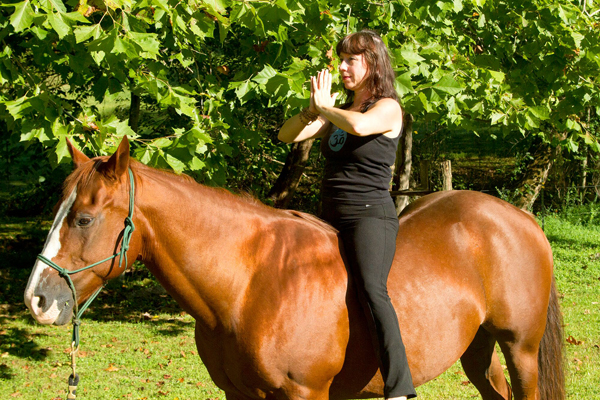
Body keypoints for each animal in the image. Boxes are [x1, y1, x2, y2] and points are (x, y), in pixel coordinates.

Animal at [24, 136, 564, 398]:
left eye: (84, 217)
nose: (37, 299)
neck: (250, 284)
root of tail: (519, 219)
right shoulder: (240, 396)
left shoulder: (305, 394)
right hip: (478, 348)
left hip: (521, 350)